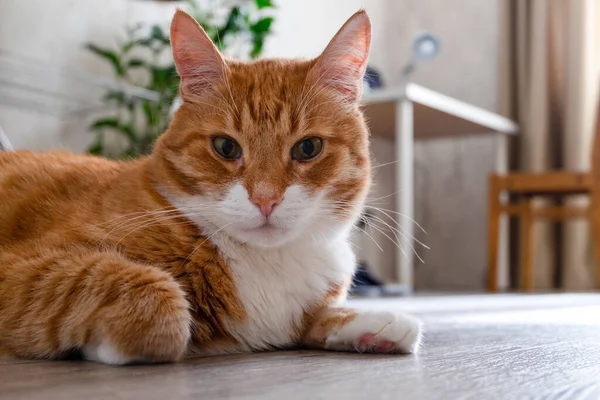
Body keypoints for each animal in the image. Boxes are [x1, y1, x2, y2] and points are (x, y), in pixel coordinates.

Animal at [0, 10, 422, 366]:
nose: (265, 199)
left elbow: (316, 318)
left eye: (308, 148)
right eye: (225, 147)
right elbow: (160, 302)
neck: (267, 262)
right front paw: (105, 346)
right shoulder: (30, 267)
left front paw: (376, 322)